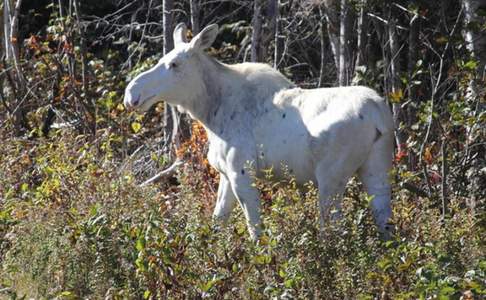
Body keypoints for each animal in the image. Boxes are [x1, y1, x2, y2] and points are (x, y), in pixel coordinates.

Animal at [124, 22, 394, 239]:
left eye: (174, 63)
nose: (131, 93)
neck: (210, 112)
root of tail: (378, 115)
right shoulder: (226, 174)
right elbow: (218, 221)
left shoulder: (242, 173)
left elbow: (255, 230)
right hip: (376, 169)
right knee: (385, 223)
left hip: (331, 176)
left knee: (333, 228)